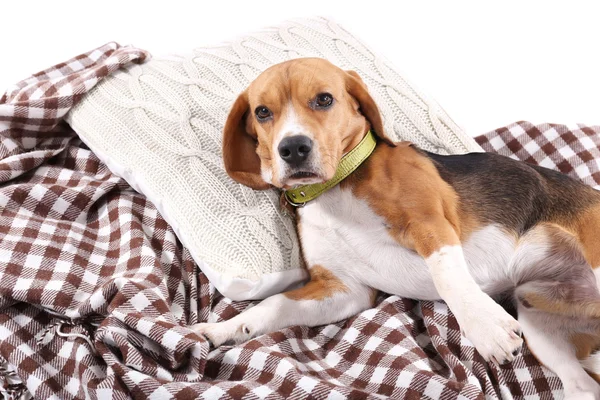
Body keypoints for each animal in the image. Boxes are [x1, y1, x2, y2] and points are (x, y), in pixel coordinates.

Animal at [195, 57, 600, 398]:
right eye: (262, 112)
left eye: (324, 99)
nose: (293, 147)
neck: (337, 187)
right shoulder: (344, 289)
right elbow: (272, 305)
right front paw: (219, 330)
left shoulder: (430, 224)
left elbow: (447, 279)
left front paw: (486, 327)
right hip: (540, 326)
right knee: (582, 386)